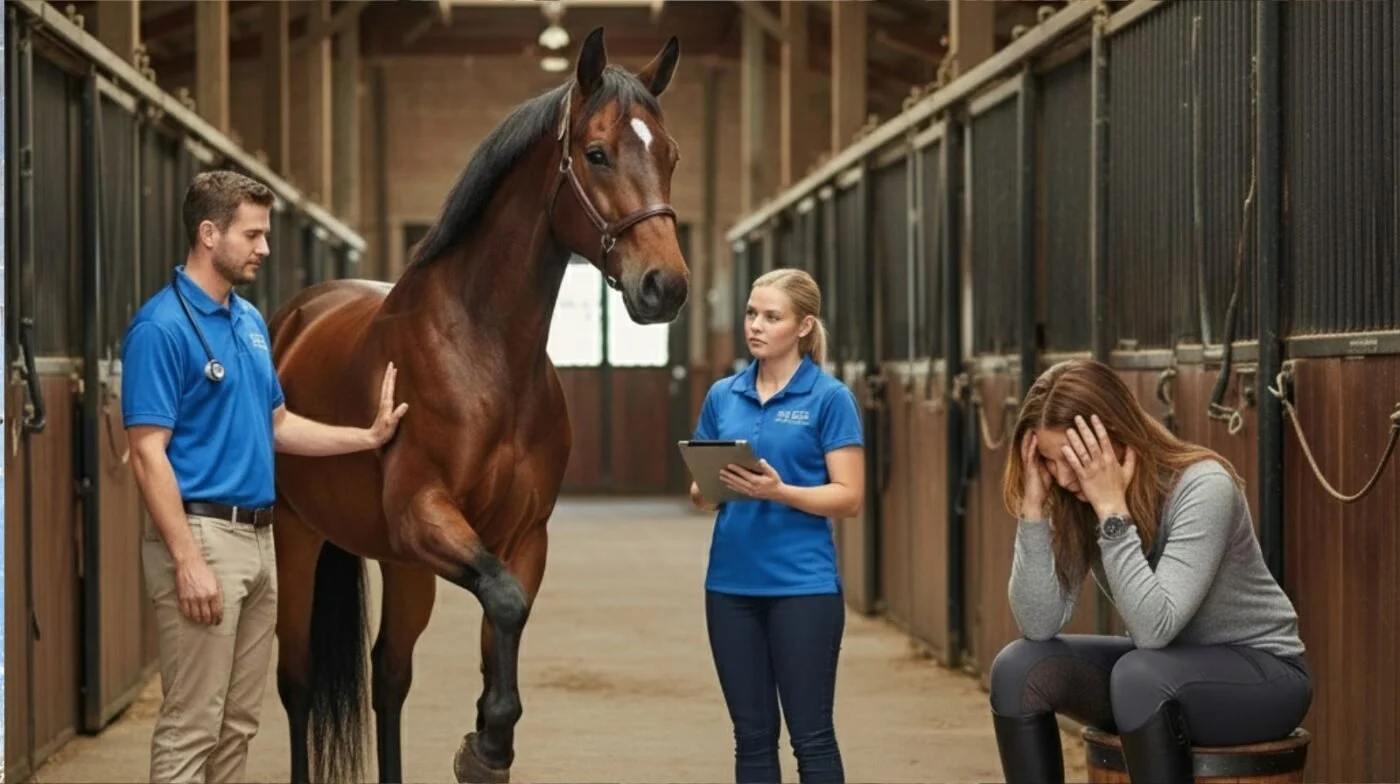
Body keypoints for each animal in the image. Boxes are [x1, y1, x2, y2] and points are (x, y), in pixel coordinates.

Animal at [265, 28, 688, 784]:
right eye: (597, 152)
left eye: (668, 154)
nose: (663, 286)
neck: (485, 354)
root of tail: (296, 317)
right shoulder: (424, 514)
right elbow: (506, 604)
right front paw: (485, 745)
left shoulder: (521, 535)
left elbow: (505, 620)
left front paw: (491, 746)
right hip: (300, 535)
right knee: (299, 680)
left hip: (402, 565)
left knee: (389, 676)